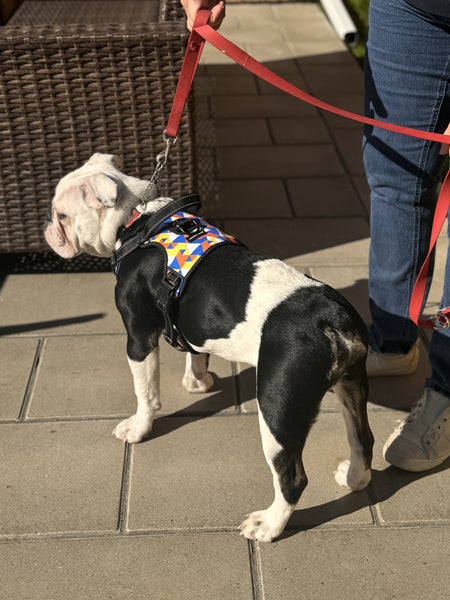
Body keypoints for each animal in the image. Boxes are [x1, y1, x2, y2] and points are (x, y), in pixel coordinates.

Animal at [45, 152, 374, 540]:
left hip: (278, 406)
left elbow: (145, 391)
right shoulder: (188, 316)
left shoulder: (138, 337)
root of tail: (331, 319)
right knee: (362, 439)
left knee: (292, 477)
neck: (134, 220)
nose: (48, 227)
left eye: (61, 216)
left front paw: (139, 428)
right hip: (351, 383)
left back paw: (268, 525)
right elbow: (197, 353)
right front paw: (198, 383)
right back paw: (353, 479)